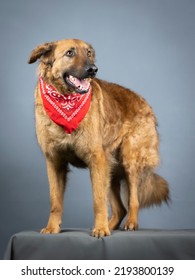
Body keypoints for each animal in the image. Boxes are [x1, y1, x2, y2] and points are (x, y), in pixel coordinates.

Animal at [27, 38, 169, 237]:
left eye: (88, 53)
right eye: (70, 53)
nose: (93, 69)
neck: (65, 99)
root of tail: (144, 102)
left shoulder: (96, 159)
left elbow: (98, 200)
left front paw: (100, 229)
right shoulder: (54, 162)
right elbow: (55, 201)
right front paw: (52, 227)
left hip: (128, 161)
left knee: (133, 200)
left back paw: (130, 223)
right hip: (110, 169)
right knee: (120, 209)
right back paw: (111, 225)